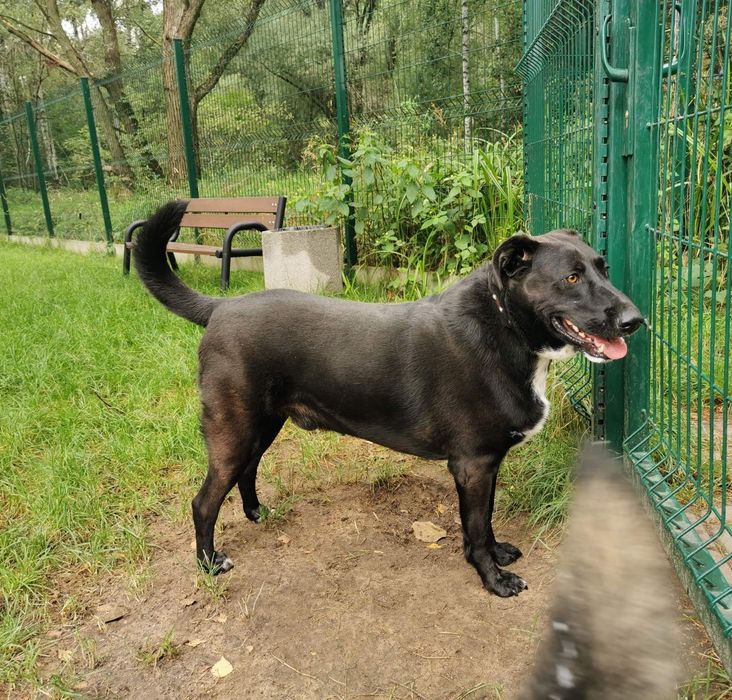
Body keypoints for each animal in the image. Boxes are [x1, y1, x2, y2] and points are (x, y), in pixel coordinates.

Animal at [133, 200, 643, 597]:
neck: (505, 326)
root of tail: (220, 307)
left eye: (602, 268)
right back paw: (209, 563)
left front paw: (498, 554)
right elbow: (476, 529)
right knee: (203, 503)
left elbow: (487, 521)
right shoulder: (473, 464)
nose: (636, 320)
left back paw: (258, 512)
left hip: (262, 425)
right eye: (571, 278)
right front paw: (493, 578)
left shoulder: (487, 464)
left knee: (248, 472)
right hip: (233, 429)